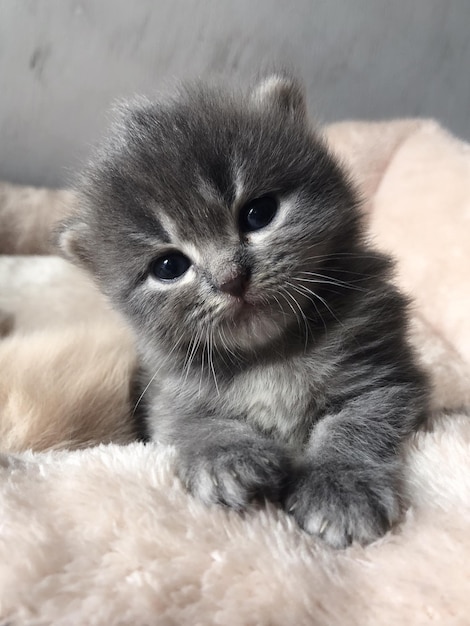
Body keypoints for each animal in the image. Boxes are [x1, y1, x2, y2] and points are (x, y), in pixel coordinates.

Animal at [60, 74, 432, 544]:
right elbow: (192, 424)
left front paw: (342, 488)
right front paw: (225, 458)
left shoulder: (384, 375)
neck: (269, 354)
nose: (230, 278)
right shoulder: (167, 393)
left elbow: (356, 424)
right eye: (168, 267)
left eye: (259, 213)